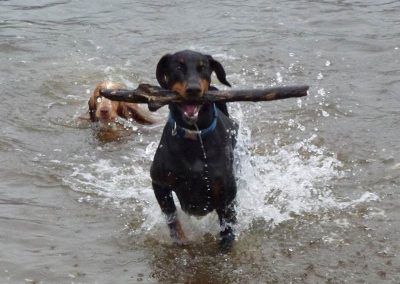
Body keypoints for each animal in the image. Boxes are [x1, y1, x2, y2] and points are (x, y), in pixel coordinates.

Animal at [150, 50, 238, 250]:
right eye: (178, 67)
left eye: (202, 67)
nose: (193, 89)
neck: (194, 137)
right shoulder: (159, 182)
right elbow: (172, 218)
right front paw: (181, 241)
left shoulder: (226, 194)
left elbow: (227, 227)